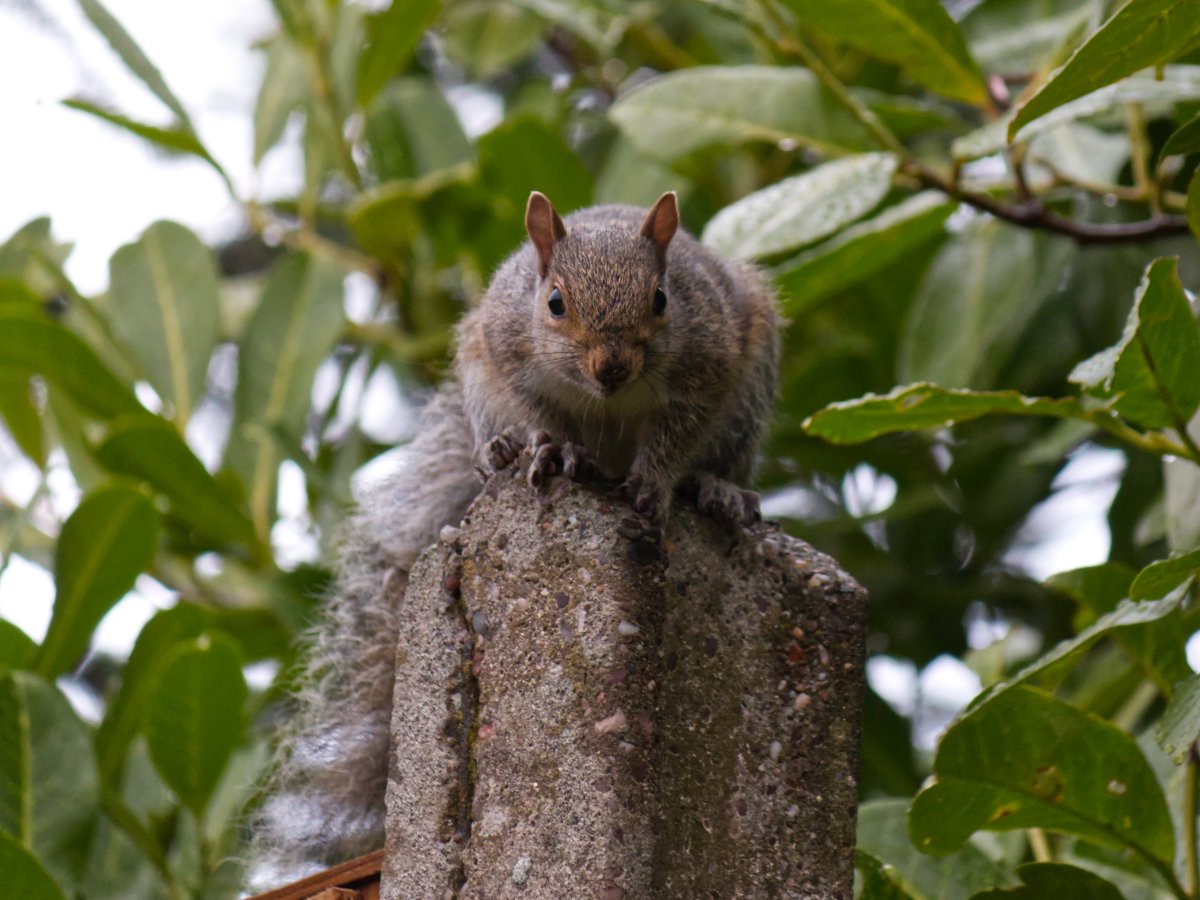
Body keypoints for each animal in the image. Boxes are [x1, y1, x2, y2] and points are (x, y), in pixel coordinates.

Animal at [248, 190, 782, 888]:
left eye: (662, 299)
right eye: (554, 302)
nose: (611, 367)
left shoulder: (709, 362)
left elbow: (675, 439)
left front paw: (656, 483)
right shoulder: (507, 351)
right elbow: (545, 419)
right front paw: (554, 450)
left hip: (750, 387)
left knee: (721, 458)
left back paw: (718, 490)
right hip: (477, 373)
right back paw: (505, 451)